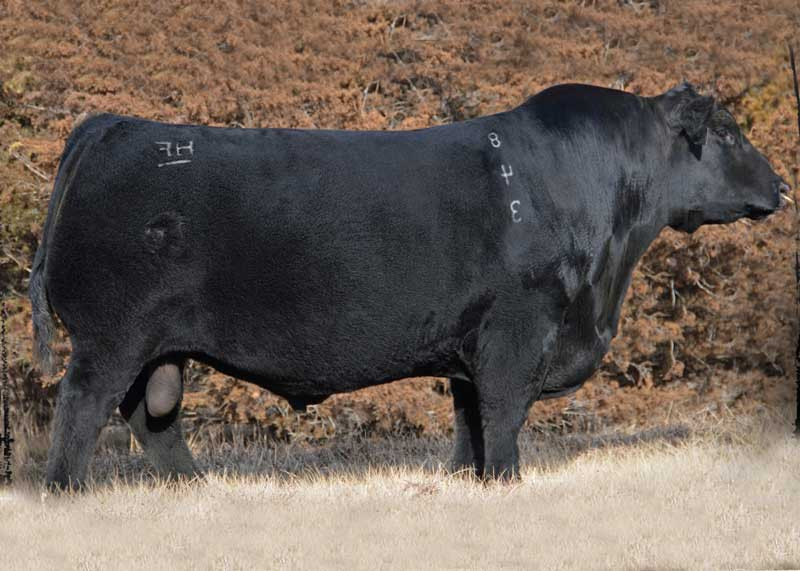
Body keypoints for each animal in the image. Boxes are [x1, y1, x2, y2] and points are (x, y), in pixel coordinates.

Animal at [29, 82, 789, 490]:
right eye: (726, 133)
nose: (782, 186)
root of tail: (113, 125)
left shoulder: (470, 346)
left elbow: (469, 419)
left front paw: (469, 481)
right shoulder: (518, 329)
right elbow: (503, 413)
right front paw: (508, 481)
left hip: (156, 346)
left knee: (150, 417)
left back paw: (195, 487)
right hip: (110, 336)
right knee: (82, 407)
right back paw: (69, 492)